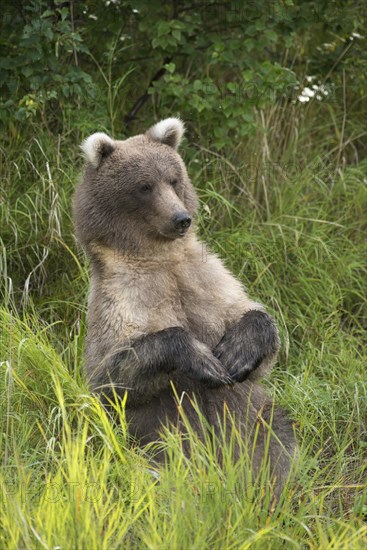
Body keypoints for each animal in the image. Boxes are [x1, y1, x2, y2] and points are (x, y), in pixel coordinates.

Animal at [73, 117, 298, 496]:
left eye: (174, 178)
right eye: (144, 186)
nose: (181, 218)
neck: (159, 257)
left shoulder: (205, 278)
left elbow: (252, 318)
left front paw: (235, 353)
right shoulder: (122, 297)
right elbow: (114, 372)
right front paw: (204, 360)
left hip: (253, 421)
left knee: (278, 439)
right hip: (150, 443)